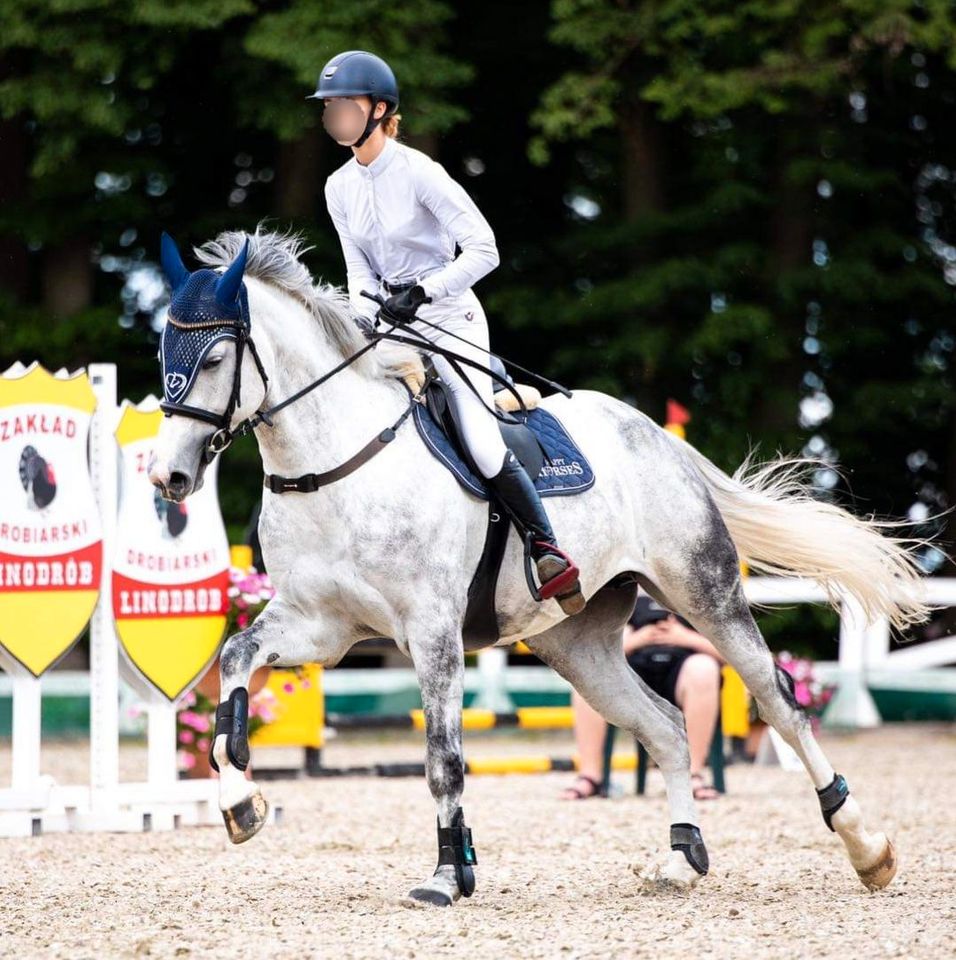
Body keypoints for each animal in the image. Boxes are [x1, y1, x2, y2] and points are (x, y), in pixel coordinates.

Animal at [151, 229, 928, 904]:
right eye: (163, 350)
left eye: (214, 359)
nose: (168, 477)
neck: (333, 463)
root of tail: (656, 435)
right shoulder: (322, 625)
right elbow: (235, 662)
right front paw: (241, 803)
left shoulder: (430, 631)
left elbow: (443, 759)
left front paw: (448, 876)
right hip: (577, 644)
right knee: (666, 727)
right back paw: (681, 858)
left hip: (704, 594)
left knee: (780, 706)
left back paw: (867, 848)